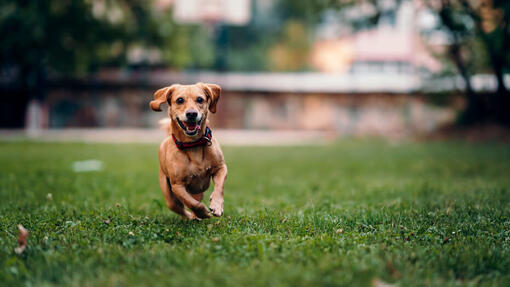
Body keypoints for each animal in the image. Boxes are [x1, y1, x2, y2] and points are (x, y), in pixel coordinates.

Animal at [150, 82, 228, 220]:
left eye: (200, 99)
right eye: (180, 100)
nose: (191, 114)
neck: (193, 144)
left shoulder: (221, 168)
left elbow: (219, 187)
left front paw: (217, 205)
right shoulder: (177, 186)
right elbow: (192, 203)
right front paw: (203, 212)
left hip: (199, 192)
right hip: (169, 196)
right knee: (180, 208)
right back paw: (192, 217)